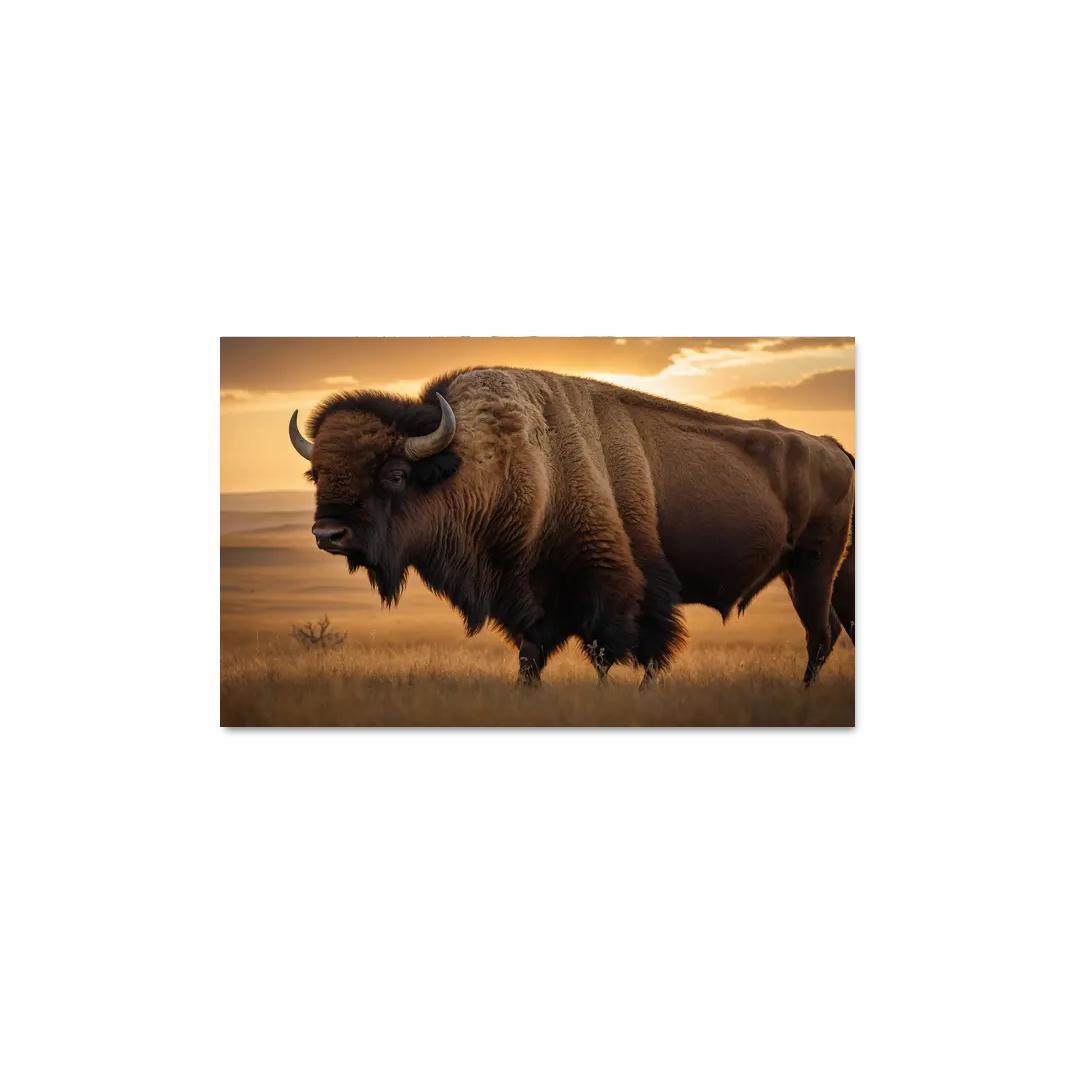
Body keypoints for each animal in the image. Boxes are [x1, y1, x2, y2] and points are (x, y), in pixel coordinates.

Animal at [289, 367, 854, 687]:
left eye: (395, 474)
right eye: (317, 475)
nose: (329, 535)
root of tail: (833, 446)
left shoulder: (614, 589)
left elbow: (621, 651)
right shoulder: (528, 599)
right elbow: (531, 656)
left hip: (813, 567)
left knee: (819, 634)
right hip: (820, 573)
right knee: (836, 627)